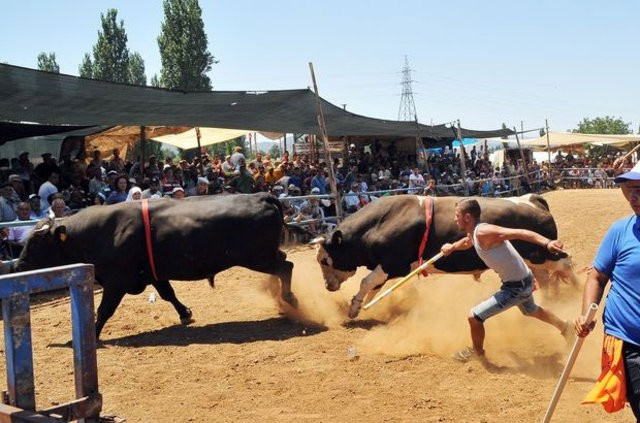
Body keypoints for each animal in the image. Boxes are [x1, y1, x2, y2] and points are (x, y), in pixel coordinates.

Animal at [13, 194, 296, 340]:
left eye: (37, 242)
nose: (18, 264)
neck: (99, 233)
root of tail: (260, 196)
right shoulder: (153, 274)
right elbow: (168, 294)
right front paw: (185, 313)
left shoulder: (116, 281)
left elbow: (104, 310)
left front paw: (90, 334)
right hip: (263, 256)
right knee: (284, 265)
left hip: (258, 257)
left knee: (287, 266)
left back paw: (290, 299)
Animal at [316, 195, 580, 318]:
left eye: (324, 259)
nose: (327, 286)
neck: (382, 221)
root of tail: (533, 199)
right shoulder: (388, 268)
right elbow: (373, 287)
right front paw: (359, 306)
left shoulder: (394, 264)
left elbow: (366, 282)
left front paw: (353, 307)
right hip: (532, 259)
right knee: (544, 278)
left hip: (543, 253)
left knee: (566, 265)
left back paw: (577, 292)